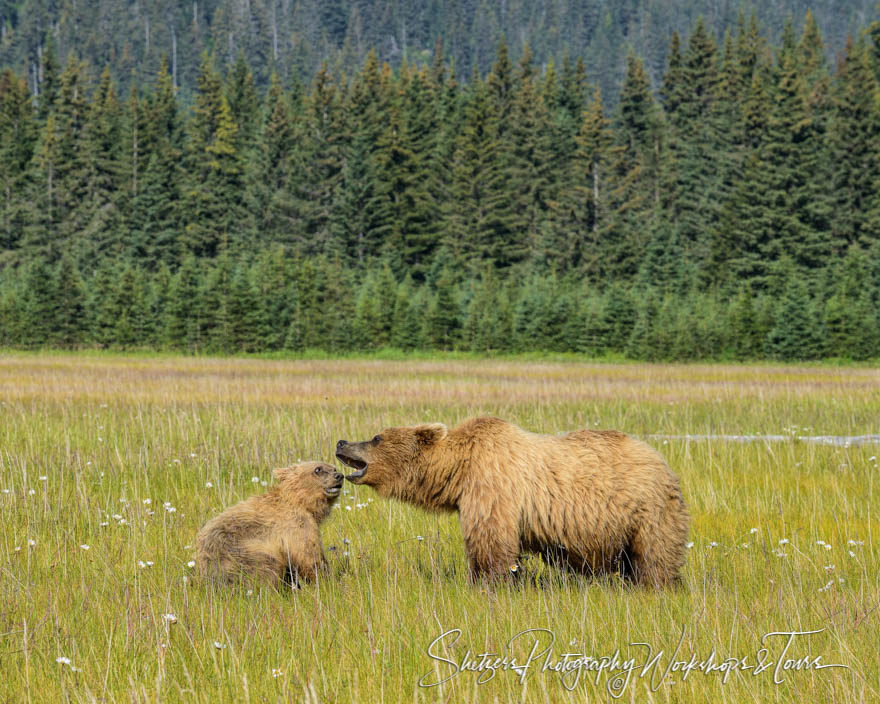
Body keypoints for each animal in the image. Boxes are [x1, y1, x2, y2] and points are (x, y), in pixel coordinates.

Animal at [336, 416, 688, 584]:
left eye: (376, 437)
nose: (341, 442)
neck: (459, 469)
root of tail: (663, 461)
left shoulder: (492, 489)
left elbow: (491, 543)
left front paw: (487, 582)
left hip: (646, 510)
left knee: (654, 558)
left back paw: (657, 586)